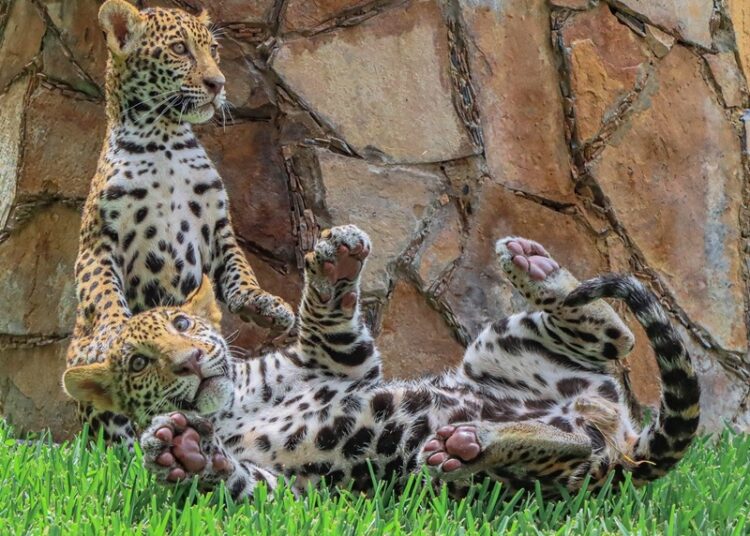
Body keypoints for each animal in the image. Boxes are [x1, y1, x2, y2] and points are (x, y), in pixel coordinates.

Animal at [63, 224, 700, 501]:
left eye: (183, 325)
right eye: (139, 362)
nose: (191, 361)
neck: (230, 408)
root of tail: (627, 446)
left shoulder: (337, 362)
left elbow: (325, 315)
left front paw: (335, 262)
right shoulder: (296, 495)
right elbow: (246, 483)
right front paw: (182, 452)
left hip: (503, 344)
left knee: (617, 336)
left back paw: (534, 265)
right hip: (544, 468)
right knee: (573, 440)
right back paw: (471, 444)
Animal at [65, 0, 295, 446]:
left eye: (213, 51)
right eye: (178, 49)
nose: (217, 83)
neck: (164, 139)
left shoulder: (217, 228)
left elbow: (241, 271)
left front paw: (264, 304)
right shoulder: (98, 240)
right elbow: (103, 292)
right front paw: (115, 331)